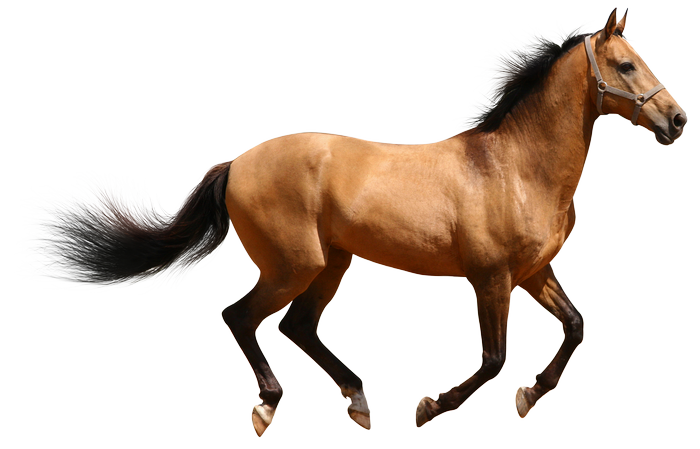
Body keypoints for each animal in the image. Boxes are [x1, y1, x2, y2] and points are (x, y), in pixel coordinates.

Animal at [28, 8, 687, 436]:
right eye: (626, 65)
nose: (677, 120)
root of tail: (236, 162)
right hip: (295, 265)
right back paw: (269, 407)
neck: (515, 167)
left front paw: (529, 395)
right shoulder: (491, 279)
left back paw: (358, 399)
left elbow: (575, 327)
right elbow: (492, 360)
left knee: (296, 327)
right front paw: (430, 407)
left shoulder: (534, 272)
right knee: (242, 317)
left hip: (332, 264)